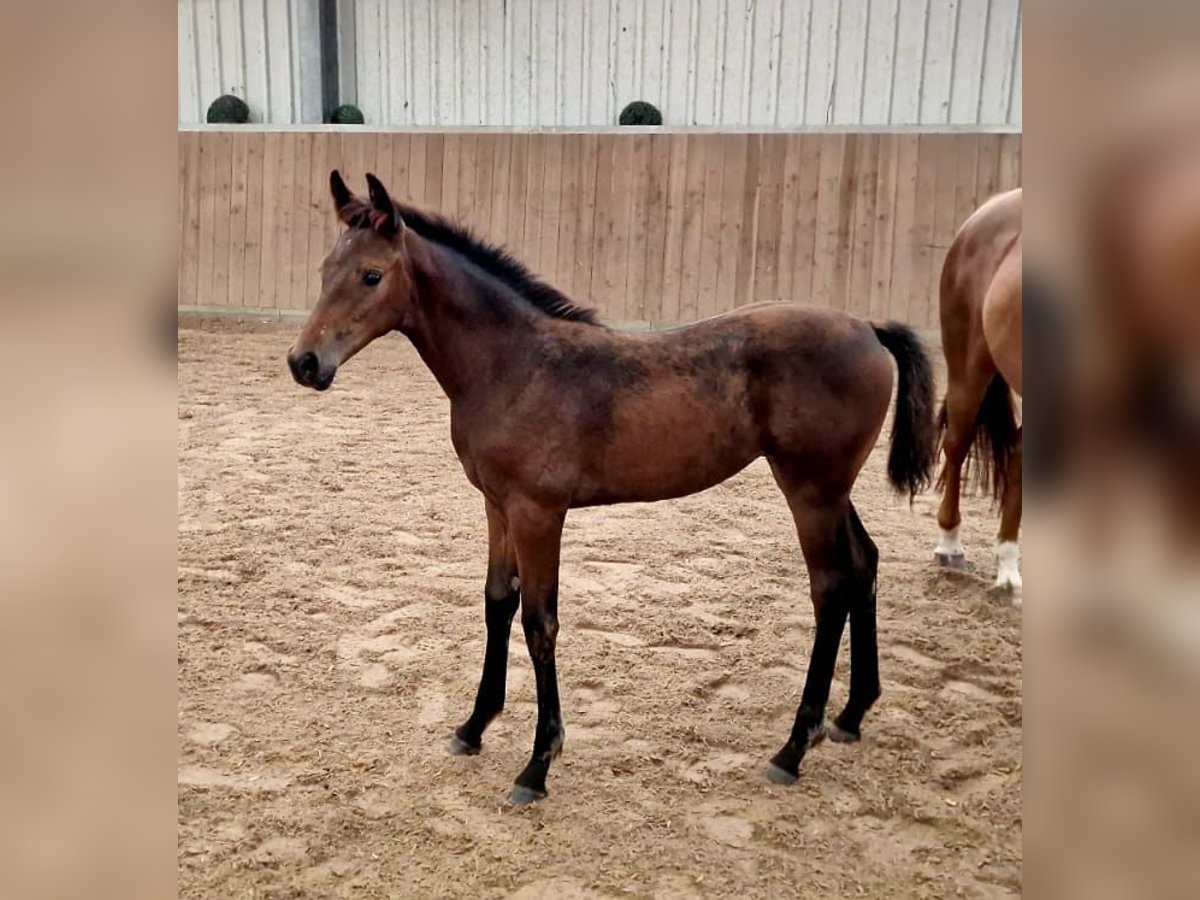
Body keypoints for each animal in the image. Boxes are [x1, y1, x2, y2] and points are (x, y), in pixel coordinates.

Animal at [283, 172, 936, 806]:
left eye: (372, 275)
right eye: (324, 270)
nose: (304, 363)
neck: (516, 365)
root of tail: (867, 328)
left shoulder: (539, 512)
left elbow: (539, 622)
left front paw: (537, 764)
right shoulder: (497, 506)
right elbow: (497, 603)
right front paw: (473, 727)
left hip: (809, 489)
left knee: (830, 589)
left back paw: (793, 749)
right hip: (832, 489)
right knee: (864, 565)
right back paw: (850, 715)